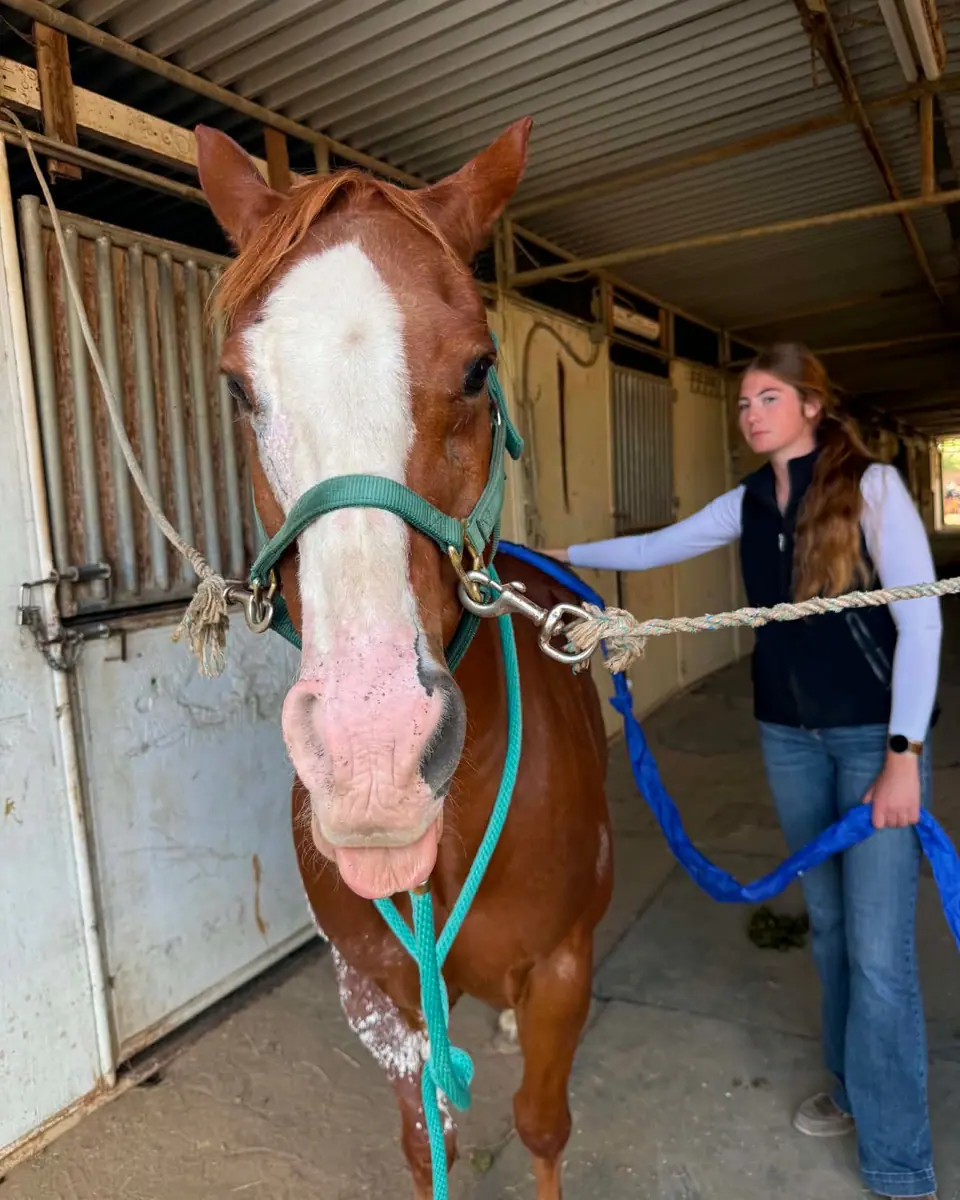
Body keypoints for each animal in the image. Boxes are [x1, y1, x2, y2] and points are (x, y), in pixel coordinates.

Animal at [195, 118, 613, 1200]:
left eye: (477, 366)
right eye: (237, 388)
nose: (371, 751)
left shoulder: (563, 971)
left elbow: (542, 1126)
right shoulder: (376, 991)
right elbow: (431, 1144)